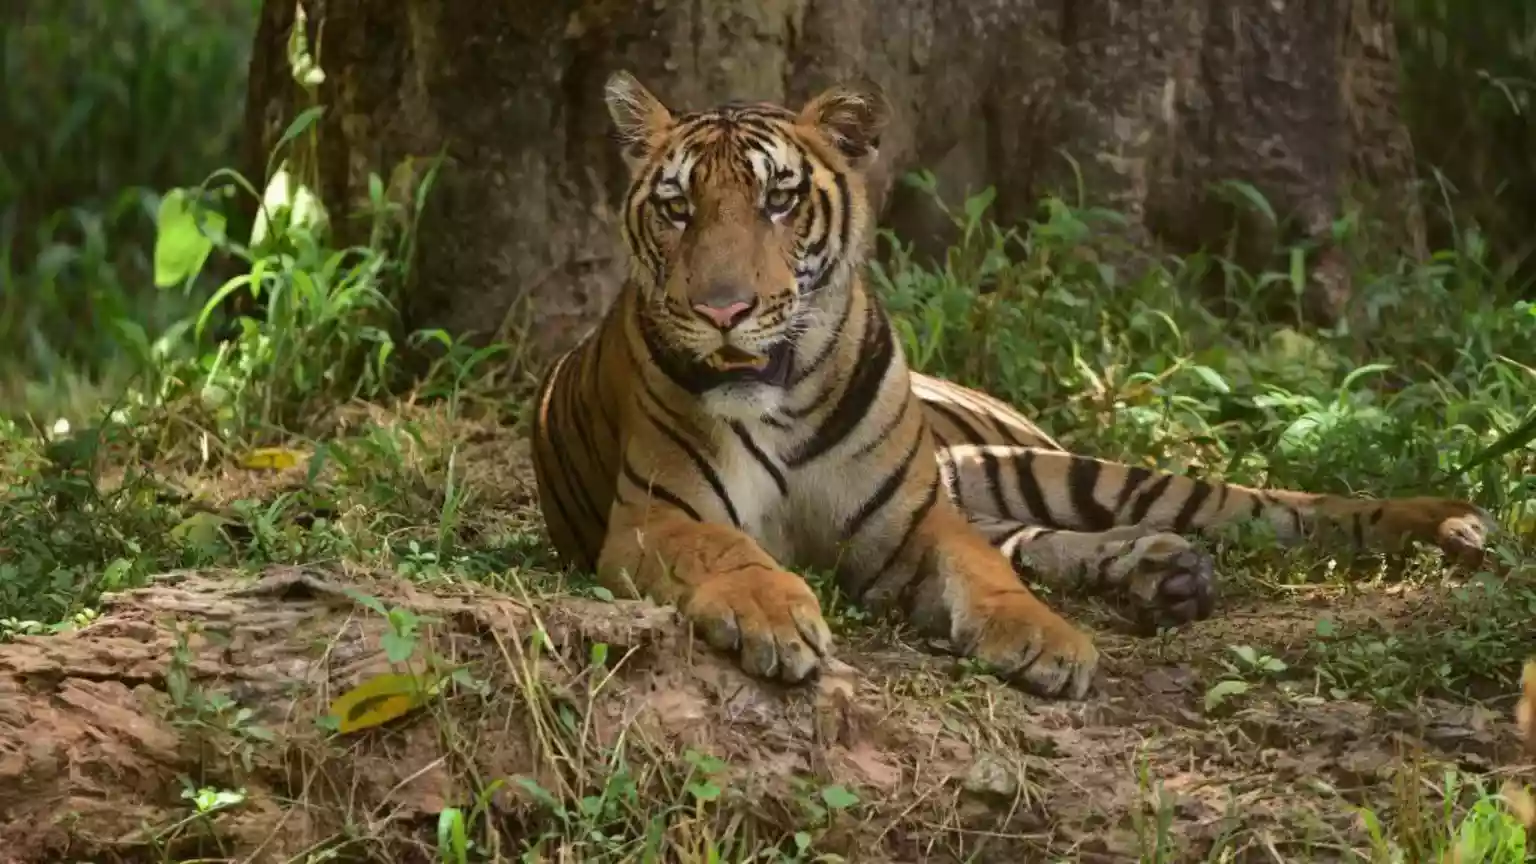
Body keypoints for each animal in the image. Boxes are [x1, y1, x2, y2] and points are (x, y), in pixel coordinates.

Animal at [528, 70, 1494, 700]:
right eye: (677, 208)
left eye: (778, 200)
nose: (722, 310)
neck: (782, 396)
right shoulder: (656, 518)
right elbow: (733, 551)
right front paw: (773, 615)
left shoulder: (912, 523)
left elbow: (988, 576)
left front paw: (1047, 642)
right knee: (1047, 538)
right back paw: (1165, 575)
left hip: (1047, 468)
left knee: (1261, 505)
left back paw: (1444, 522)